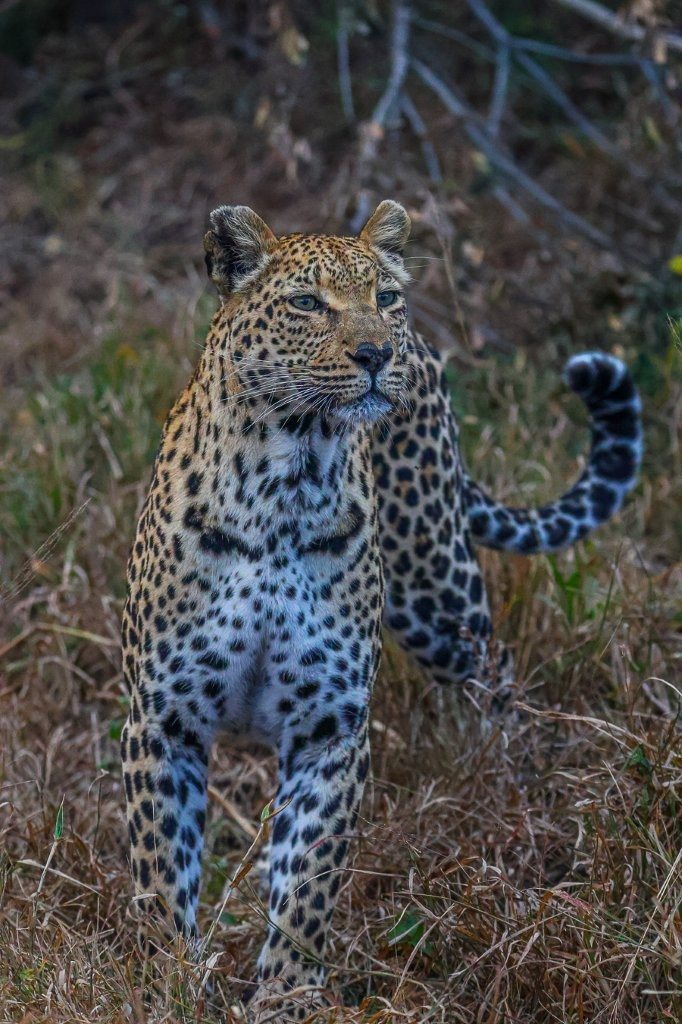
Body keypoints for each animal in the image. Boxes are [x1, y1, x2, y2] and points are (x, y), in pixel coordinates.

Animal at [120, 200, 642, 1021]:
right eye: (308, 304)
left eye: (385, 297)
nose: (374, 352)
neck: (286, 482)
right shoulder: (163, 719)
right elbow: (161, 871)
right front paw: (166, 982)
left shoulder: (329, 727)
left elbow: (309, 877)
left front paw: (289, 993)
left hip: (438, 591)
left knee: (497, 676)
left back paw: (511, 780)